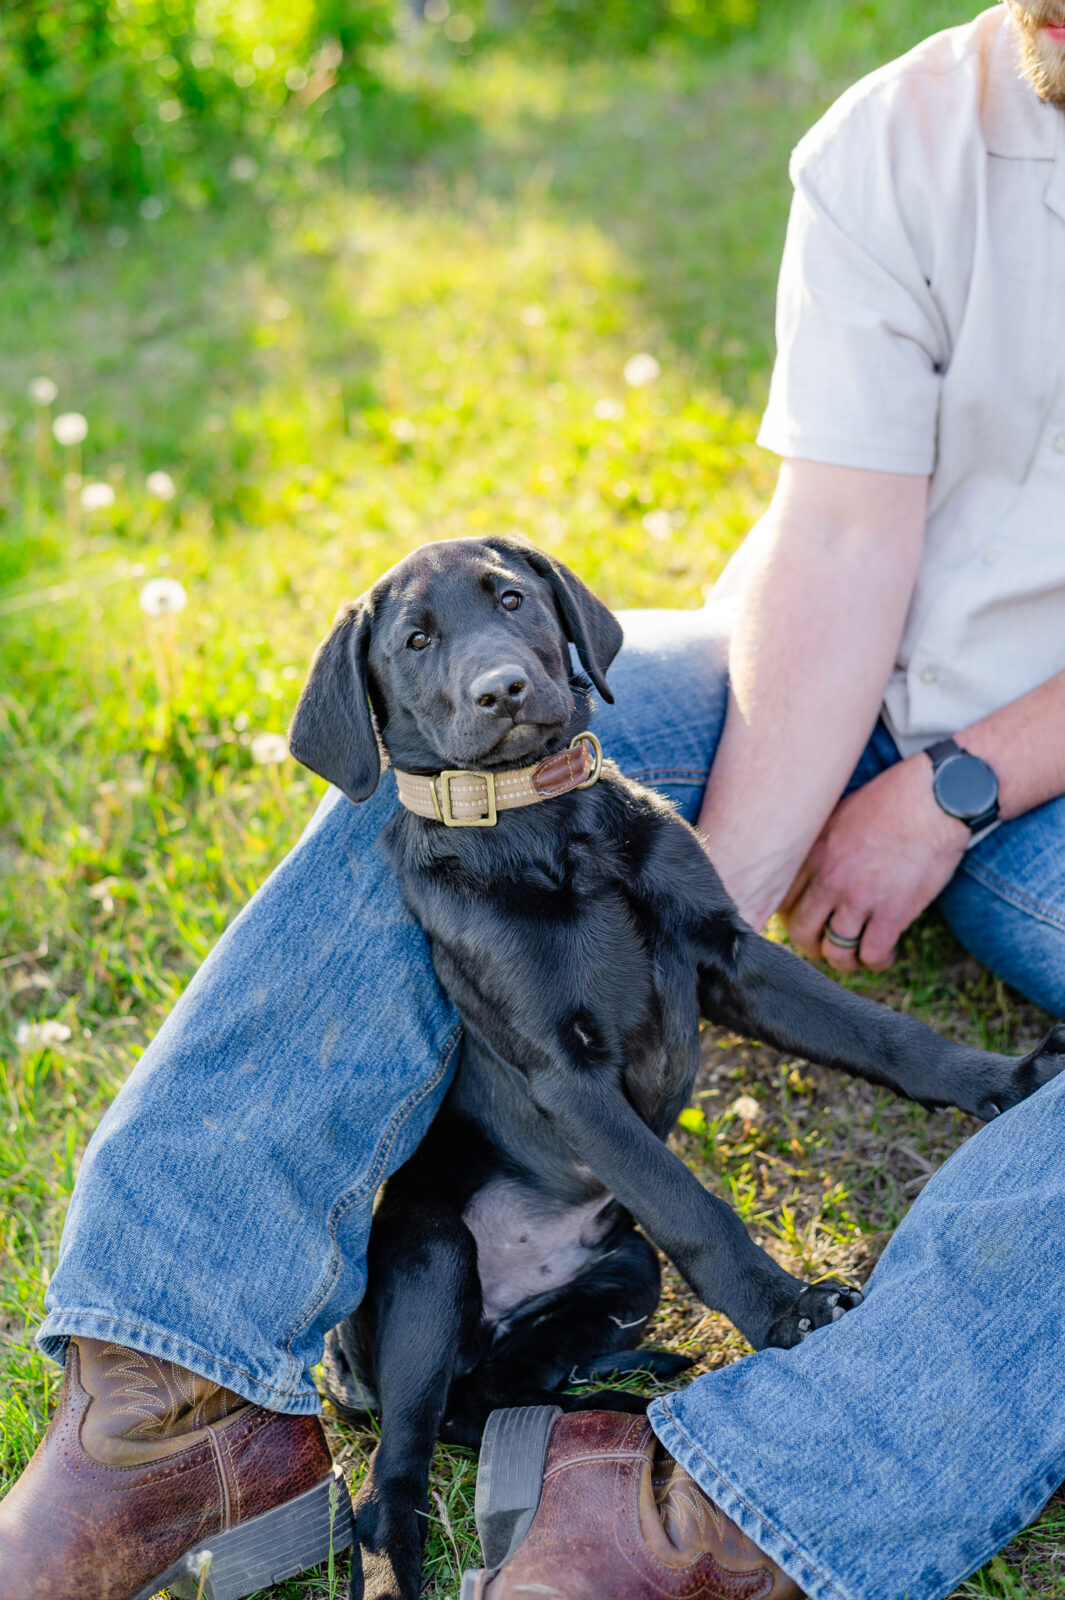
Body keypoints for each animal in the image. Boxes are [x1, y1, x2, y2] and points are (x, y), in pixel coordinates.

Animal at [288, 536, 1065, 1600]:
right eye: (414, 640)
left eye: (511, 599)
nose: (504, 689)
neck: (546, 833)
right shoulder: (566, 1077)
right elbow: (693, 1204)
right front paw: (787, 1309)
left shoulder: (729, 955)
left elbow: (877, 1033)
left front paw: (1003, 1082)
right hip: (431, 1258)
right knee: (396, 1472)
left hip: (623, 1270)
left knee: (482, 1395)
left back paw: (607, 1407)